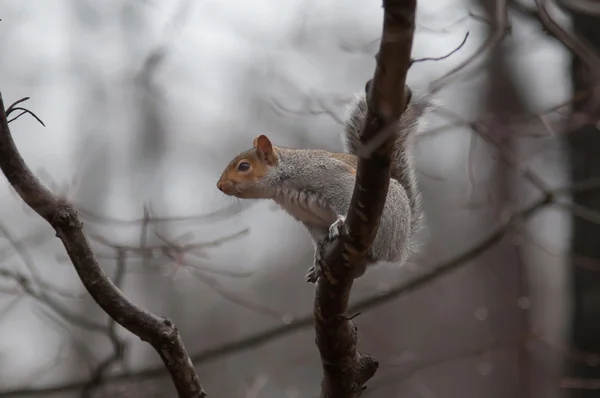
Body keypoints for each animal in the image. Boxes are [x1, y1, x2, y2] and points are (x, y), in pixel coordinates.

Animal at [218, 81, 428, 282]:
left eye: (244, 166)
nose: (219, 186)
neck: (283, 181)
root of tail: (402, 244)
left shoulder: (331, 176)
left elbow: (344, 199)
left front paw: (340, 222)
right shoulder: (309, 219)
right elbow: (318, 238)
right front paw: (318, 257)